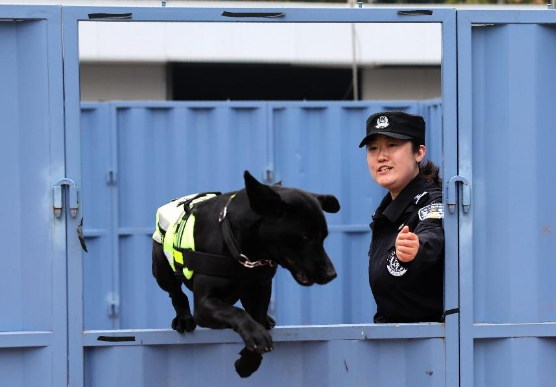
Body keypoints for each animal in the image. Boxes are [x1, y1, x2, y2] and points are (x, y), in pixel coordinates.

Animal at [152, 171, 340, 378]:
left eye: (324, 237)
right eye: (305, 237)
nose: (331, 274)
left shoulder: (260, 289)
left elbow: (255, 316)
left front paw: (248, 362)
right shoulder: (203, 305)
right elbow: (236, 312)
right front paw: (256, 337)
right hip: (161, 269)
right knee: (176, 293)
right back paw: (184, 318)